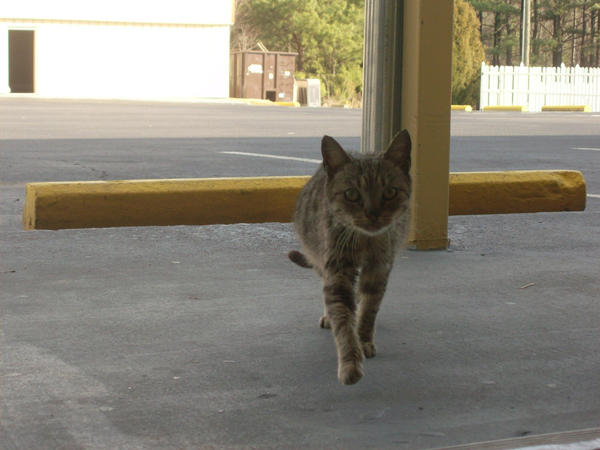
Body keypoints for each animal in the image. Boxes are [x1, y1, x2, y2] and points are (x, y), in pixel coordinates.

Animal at [290, 132, 412, 384]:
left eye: (390, 192)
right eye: (352, 194)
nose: (373, 214)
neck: (366, 241)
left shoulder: (379, 268)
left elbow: (368, 308)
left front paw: (363, 339)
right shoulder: (337, 269)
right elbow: (342, 316)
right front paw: (350, 362)